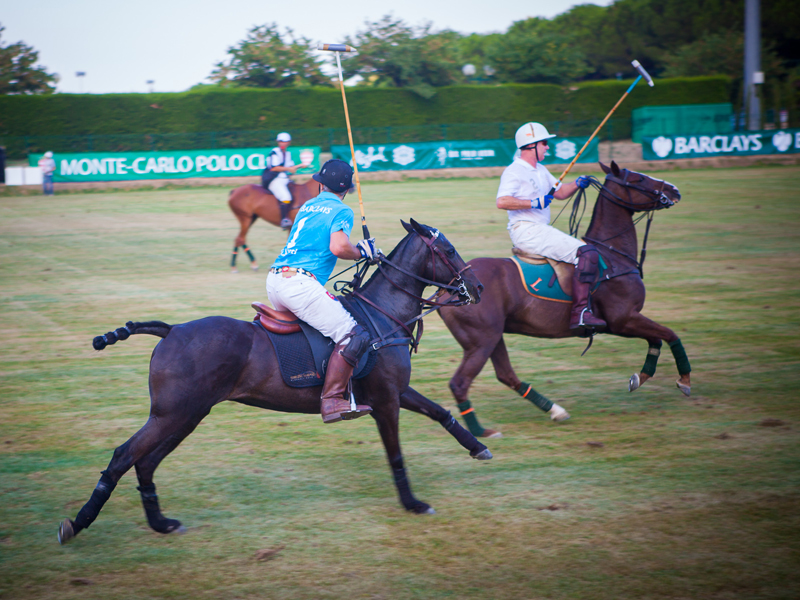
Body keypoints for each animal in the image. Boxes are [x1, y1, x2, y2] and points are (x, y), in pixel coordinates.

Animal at [56, 219, 488, 544]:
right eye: (448, 250)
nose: (478, 288)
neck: (383, 315)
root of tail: (172, 330)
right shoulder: (384, 400)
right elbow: (396, 454)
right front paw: (413, 503)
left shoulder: (396, 390)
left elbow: (439, 411)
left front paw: (478, 447)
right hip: (171, 414)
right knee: (122, 456)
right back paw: (77, 523)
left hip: (186, 415)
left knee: (145, 462)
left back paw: (161, 523)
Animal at [440, 162, 692, 438]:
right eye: (638, 179)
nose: (675, 190)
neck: (613, 256)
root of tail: (448, 287)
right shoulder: (622, 319)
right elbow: (669, 334)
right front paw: (684, 380)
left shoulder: (625, 321)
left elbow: (657, 339)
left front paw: (640, 377)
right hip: (481, 339)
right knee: (460, 382)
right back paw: (480, 431)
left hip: (493, 336)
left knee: (506, 375)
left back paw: (555, 410)